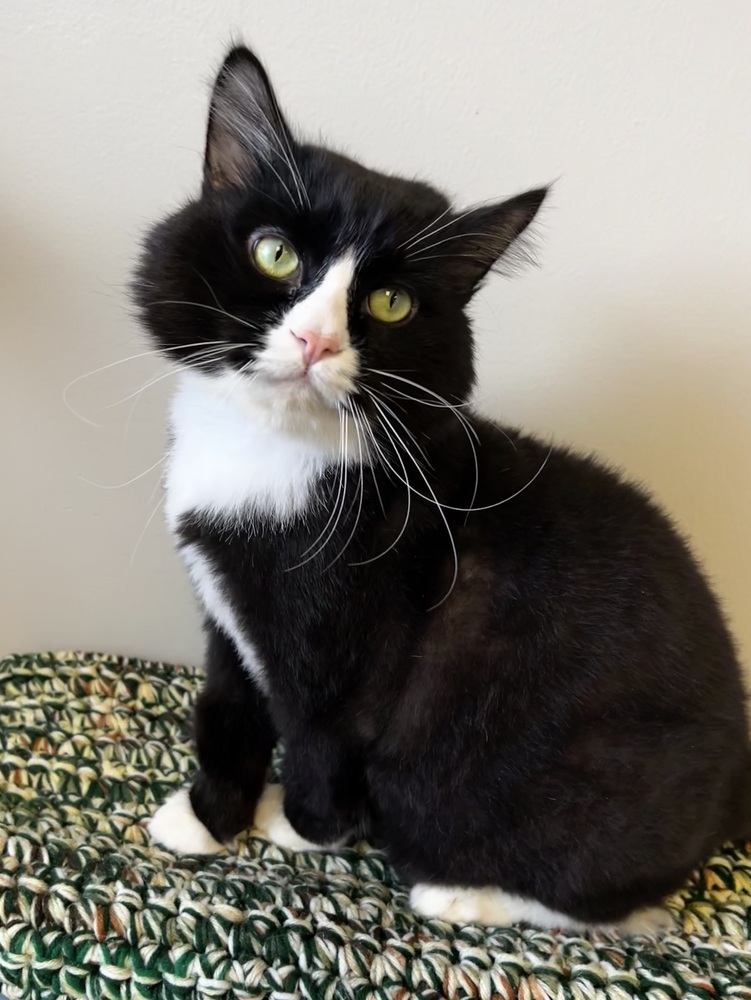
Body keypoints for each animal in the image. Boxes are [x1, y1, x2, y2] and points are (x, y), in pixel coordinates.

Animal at [137, 47, 751, 932]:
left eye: (390, 303)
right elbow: (229, 702)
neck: (272, 452)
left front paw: (302, 825)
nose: (315, 340)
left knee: (608, 894)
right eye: (274, 253)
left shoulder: (350, 628)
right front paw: (208, 816)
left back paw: (463, 889)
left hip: (575, 795)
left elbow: (322, 732)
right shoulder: (223, 604)